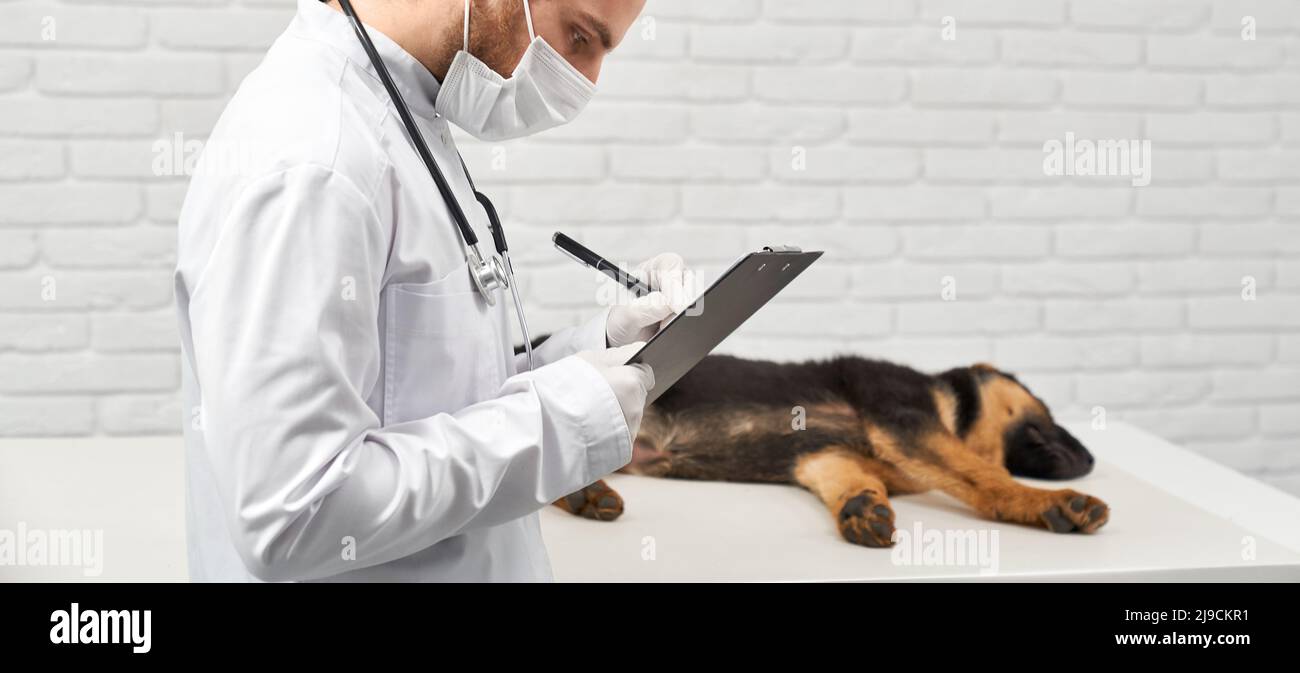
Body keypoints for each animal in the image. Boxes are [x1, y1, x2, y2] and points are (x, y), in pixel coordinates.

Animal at [553, 353, 1112, 548]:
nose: (1091, 461)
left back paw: (585, 495)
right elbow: (984, 475)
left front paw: (861, 506)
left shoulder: (824, 458)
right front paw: (1046, 503)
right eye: (1048, 414)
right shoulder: (906, 420)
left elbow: (854, 483)